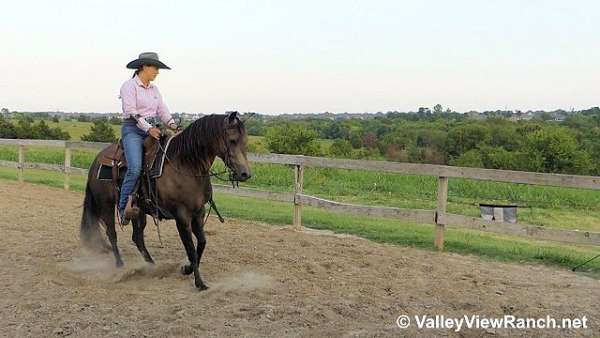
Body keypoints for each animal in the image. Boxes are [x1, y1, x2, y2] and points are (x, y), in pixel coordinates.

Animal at [79, 112, 251, 290]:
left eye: (245, 141)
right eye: (232, 140)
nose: (245, 174)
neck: (186, 166)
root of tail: (97, 160)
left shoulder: (198, 213)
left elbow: (202, 243)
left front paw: (187, 269)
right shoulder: (182, 216)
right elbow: (190, 249)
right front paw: (199, 283)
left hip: (138, 212)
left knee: (137, 238)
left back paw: (151, 266)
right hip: (105, 204)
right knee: (112, 233)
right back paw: (120, 265)